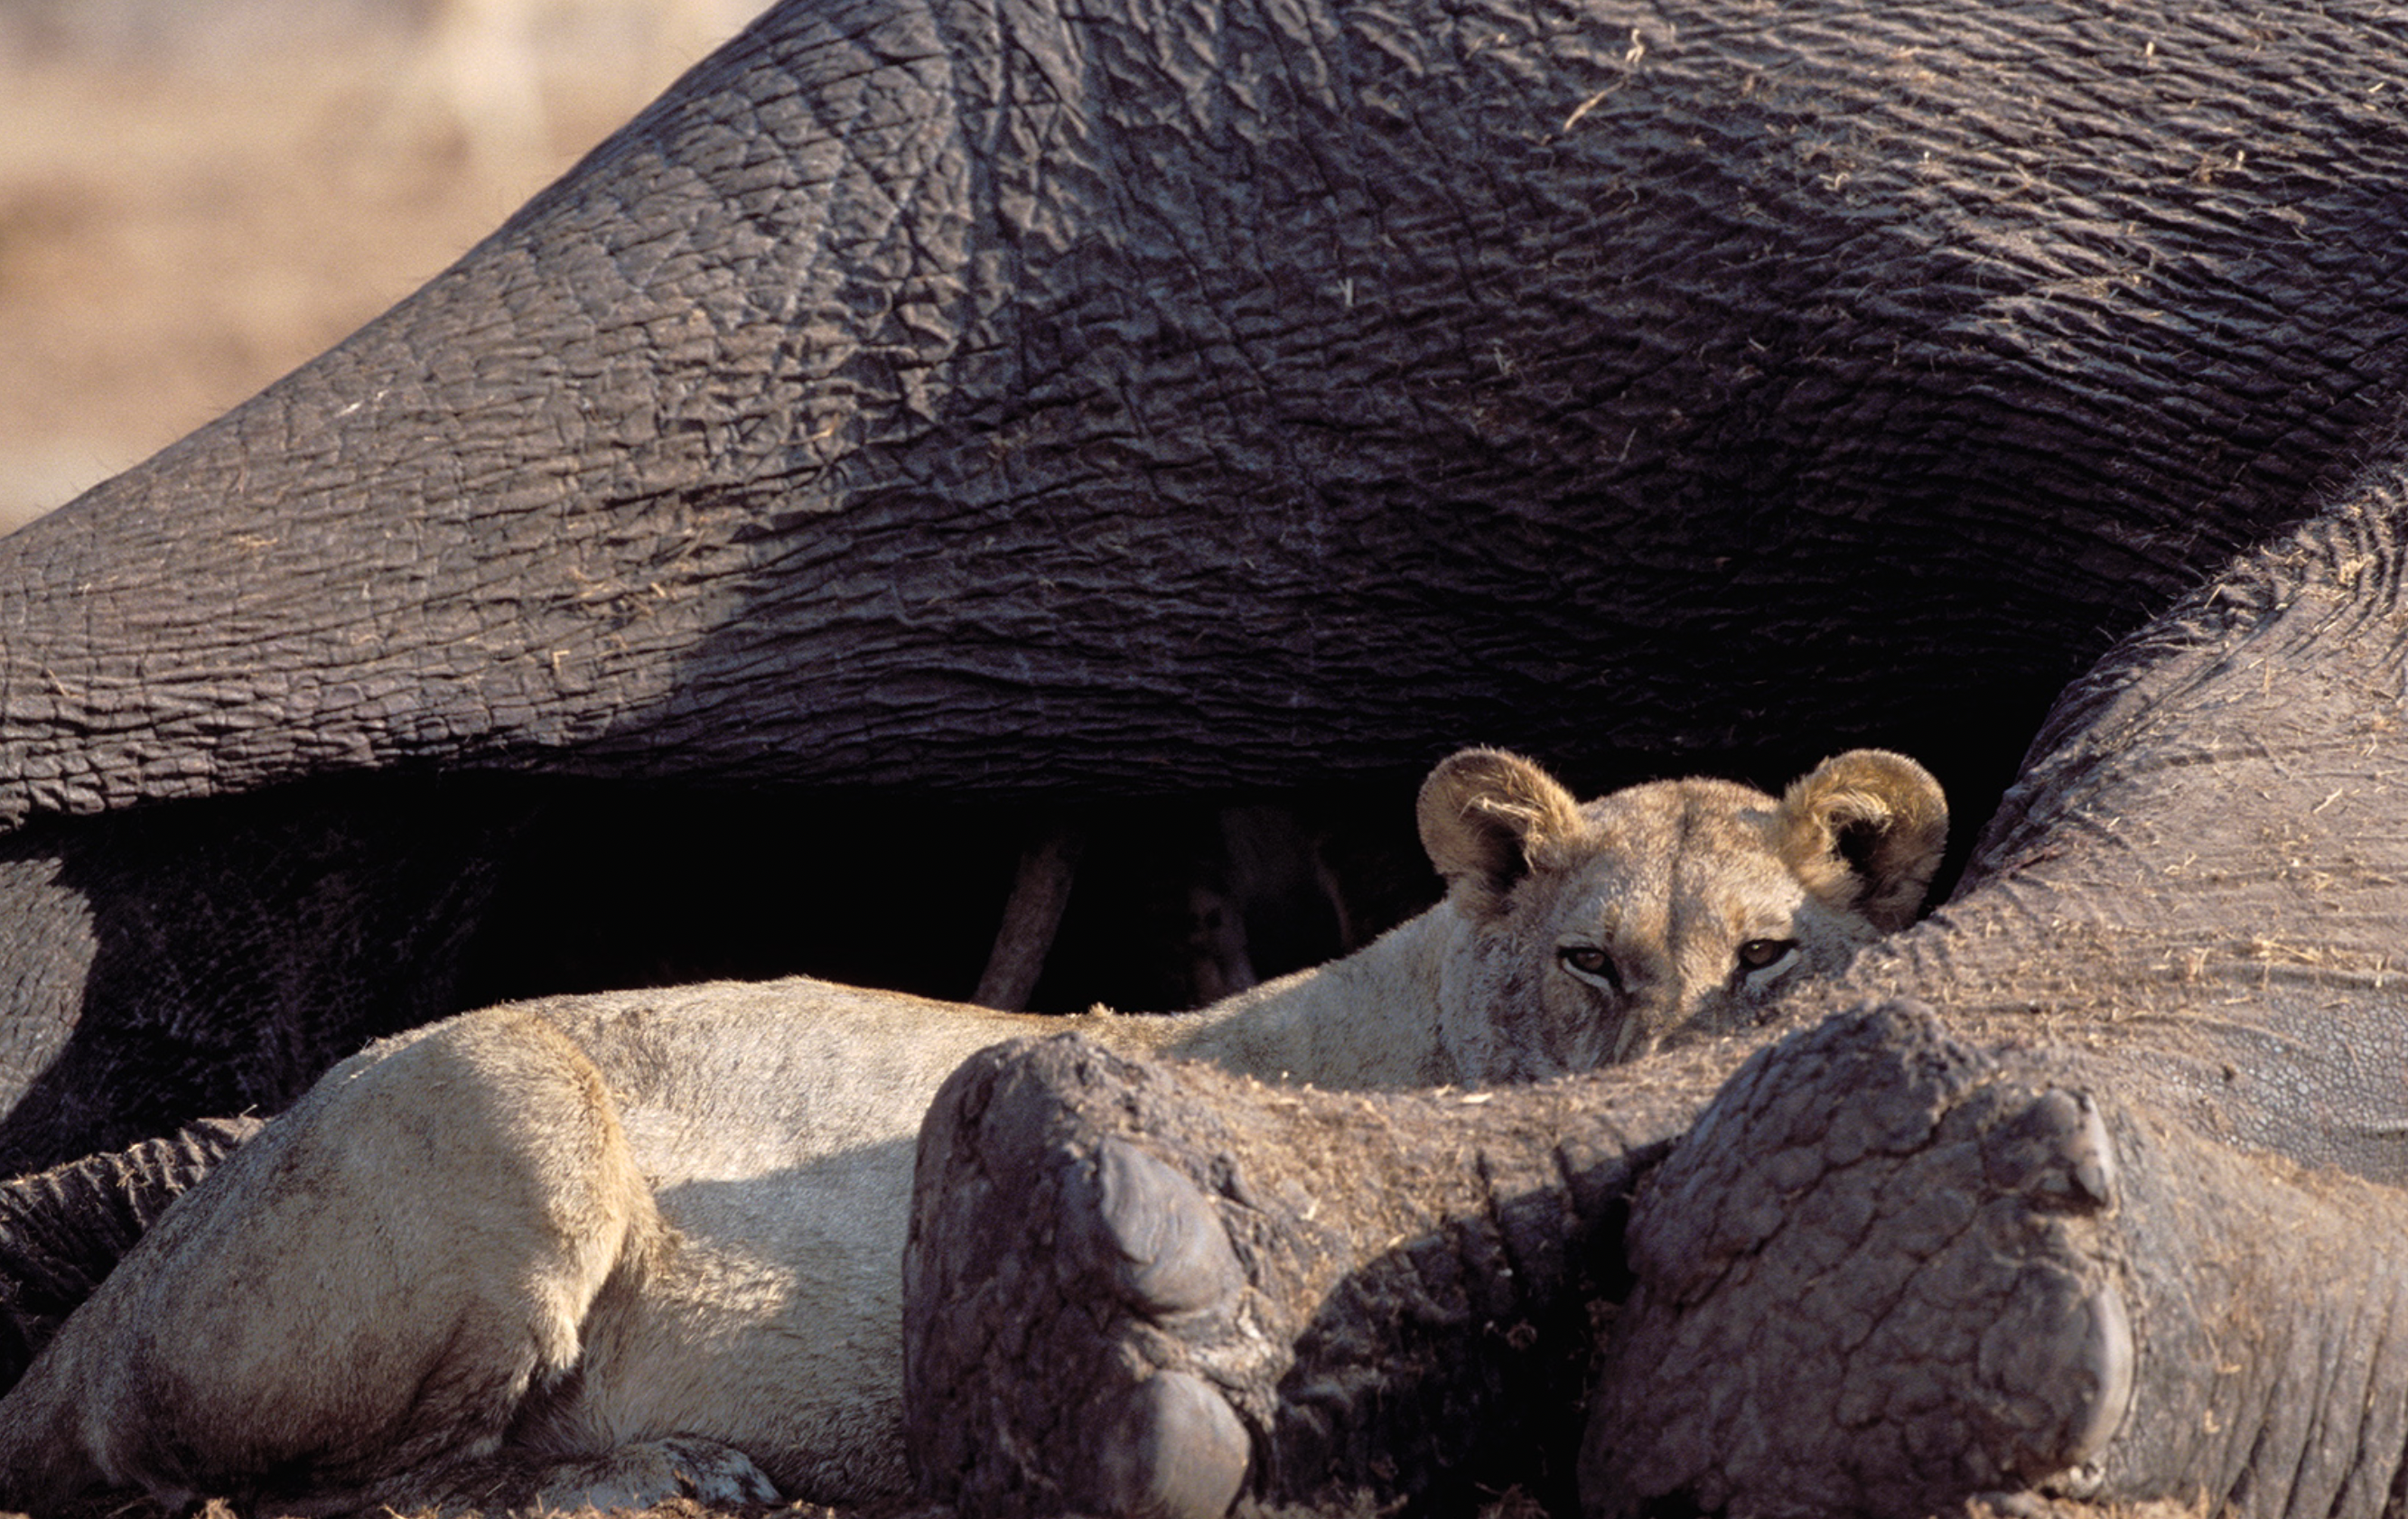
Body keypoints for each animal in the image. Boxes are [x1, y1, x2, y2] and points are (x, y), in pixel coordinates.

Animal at [0, 747, 1944, 1515]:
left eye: (1769, 951)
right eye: (1594, 958)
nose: (1682, 1054)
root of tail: (94, 1315)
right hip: (509, 1107)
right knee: (323, 1479)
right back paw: (659, 1471)